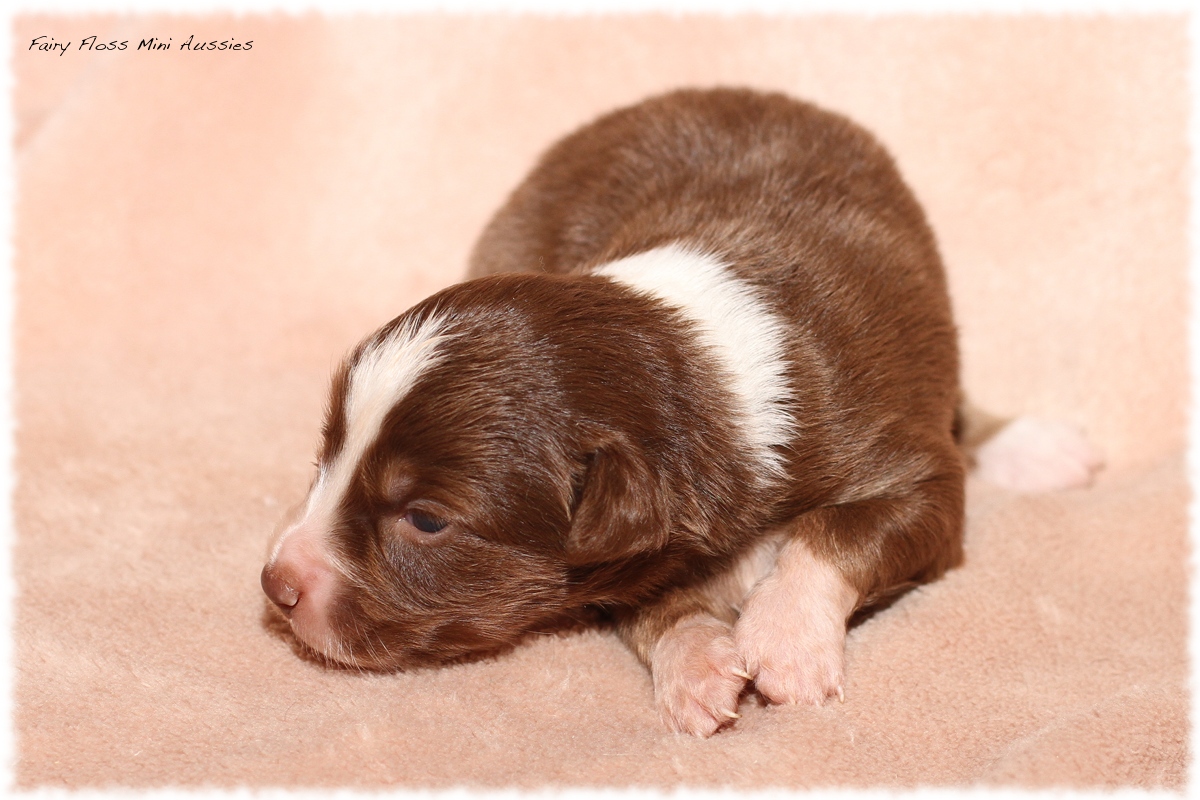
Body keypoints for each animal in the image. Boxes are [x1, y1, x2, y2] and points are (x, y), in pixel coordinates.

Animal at [258, 89, 1099, 738]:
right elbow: (655, 604)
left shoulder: (906, 456)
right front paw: (697, 665)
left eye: (427, 520)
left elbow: (845, 529)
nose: (277, 585)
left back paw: (1043, 449)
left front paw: (784, 640)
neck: (693, 363)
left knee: (962, 408)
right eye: (324, 456)